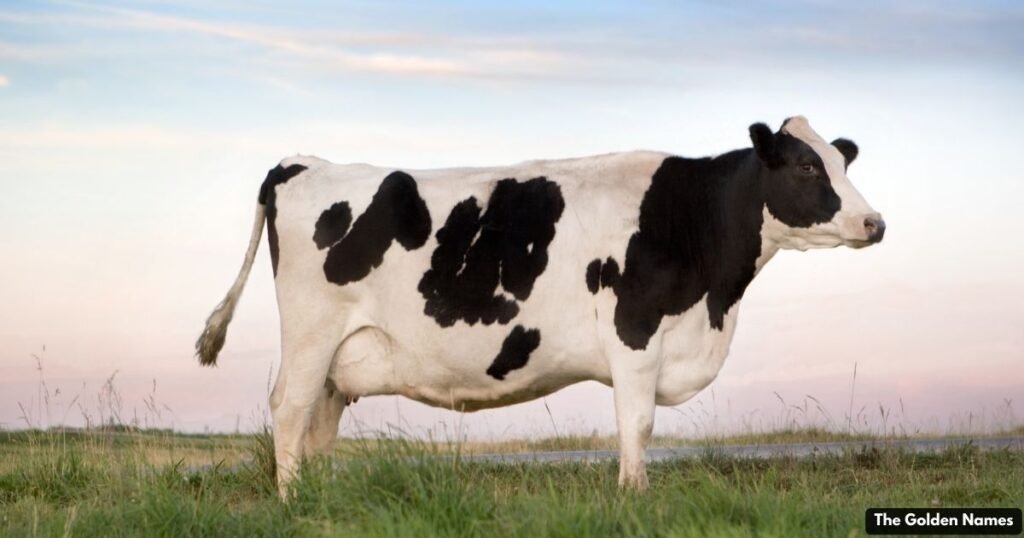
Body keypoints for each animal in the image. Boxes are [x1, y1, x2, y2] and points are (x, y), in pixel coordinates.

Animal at [196, 116, 884, 496]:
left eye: (842, 162)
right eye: (805, 167)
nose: (875, 223)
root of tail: (302, 162)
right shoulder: (635, 334)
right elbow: (636, 425)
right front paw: (634, 497)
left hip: (341, 353)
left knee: (318, 422)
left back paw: (318, 499)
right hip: (311, 331)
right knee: (288, 408)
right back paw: (290, 501)